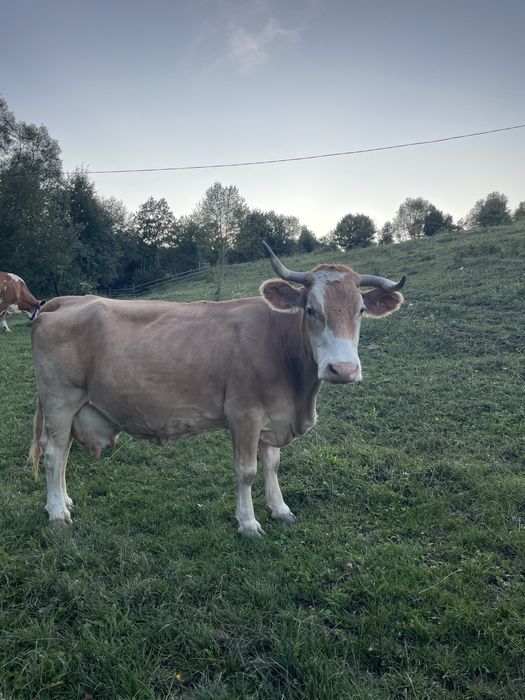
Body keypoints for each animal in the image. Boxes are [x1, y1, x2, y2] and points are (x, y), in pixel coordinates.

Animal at [29, 243, 405, 535]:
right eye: (311, 309)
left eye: (360, 310)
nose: (343, 369)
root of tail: (63, 301)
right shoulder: (244, 415)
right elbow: (247, 471)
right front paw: (248, 523)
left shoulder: (274, 415)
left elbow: (273, 464)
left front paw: (280, 509)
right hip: (60, 400)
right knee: (53, 454)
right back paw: (57, 513)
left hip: (72, 408)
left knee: (63, 453)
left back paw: (65, 501)